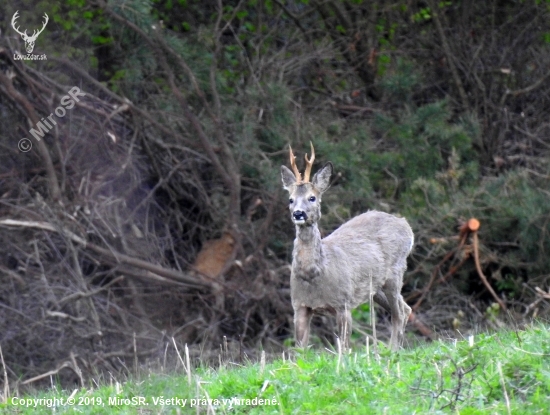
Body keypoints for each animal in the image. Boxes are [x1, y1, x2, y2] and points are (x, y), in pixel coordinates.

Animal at [284, 143, 414, 352]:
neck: (314, 274)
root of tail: (406, 225)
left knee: (399, 313)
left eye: (312, 198)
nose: (298, 213)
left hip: (395, 272)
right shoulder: (299, 305)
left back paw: (392, 350)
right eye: (290, 199)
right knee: (406, 308)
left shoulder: (343, 302)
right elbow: (299, 352)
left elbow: (344, 348)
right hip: (375, 286)